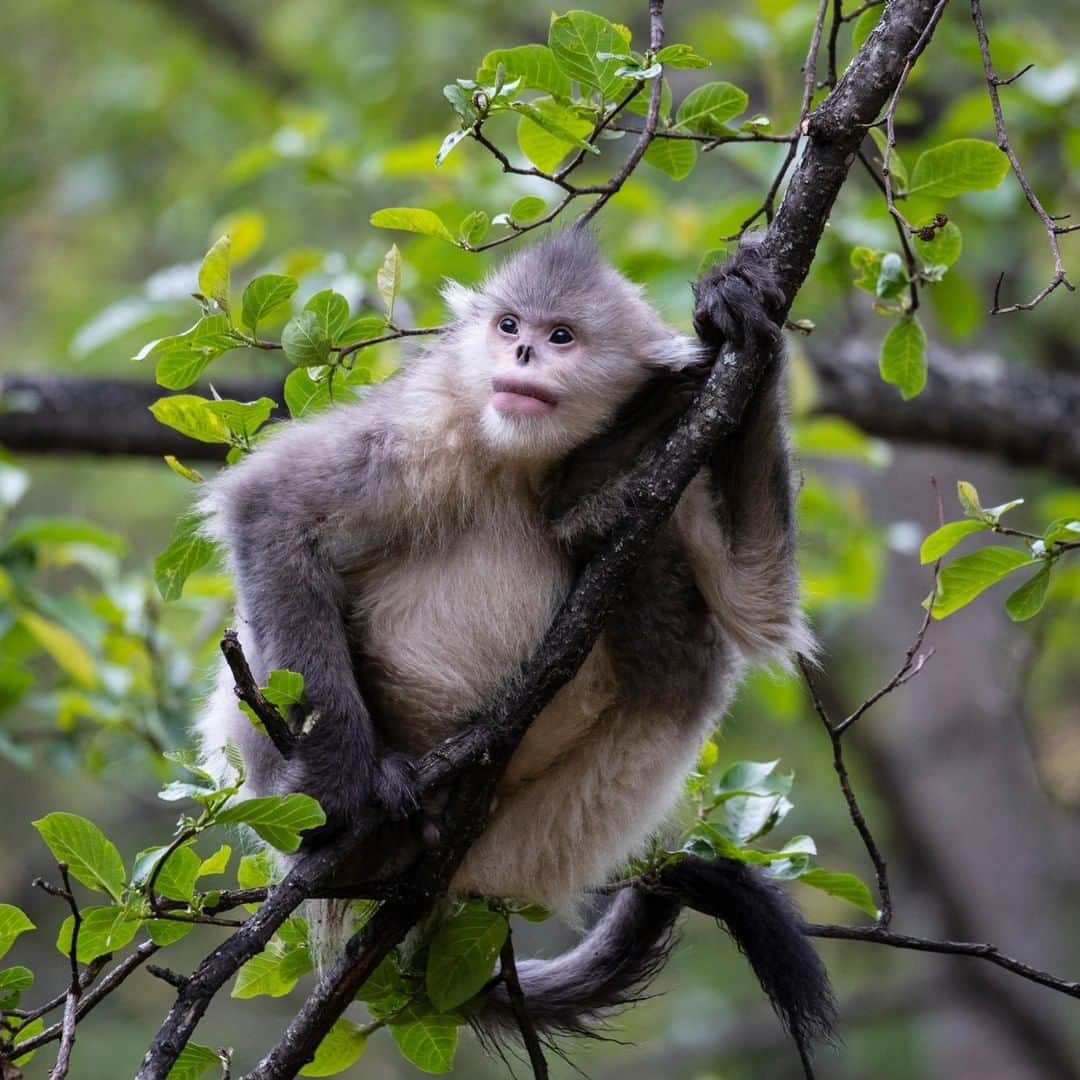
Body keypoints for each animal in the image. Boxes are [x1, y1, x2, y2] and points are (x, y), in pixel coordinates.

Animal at [194, 232, 833, 1058]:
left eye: (560, 336)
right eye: (508, 326)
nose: (524, 352)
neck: (521, 458)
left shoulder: (680, 464)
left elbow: (757, 607)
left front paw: (738, 308)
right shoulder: (425, 421)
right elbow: (267, 506)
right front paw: (337, 789)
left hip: (544, 832)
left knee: (683, 631)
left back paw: (584, 504)